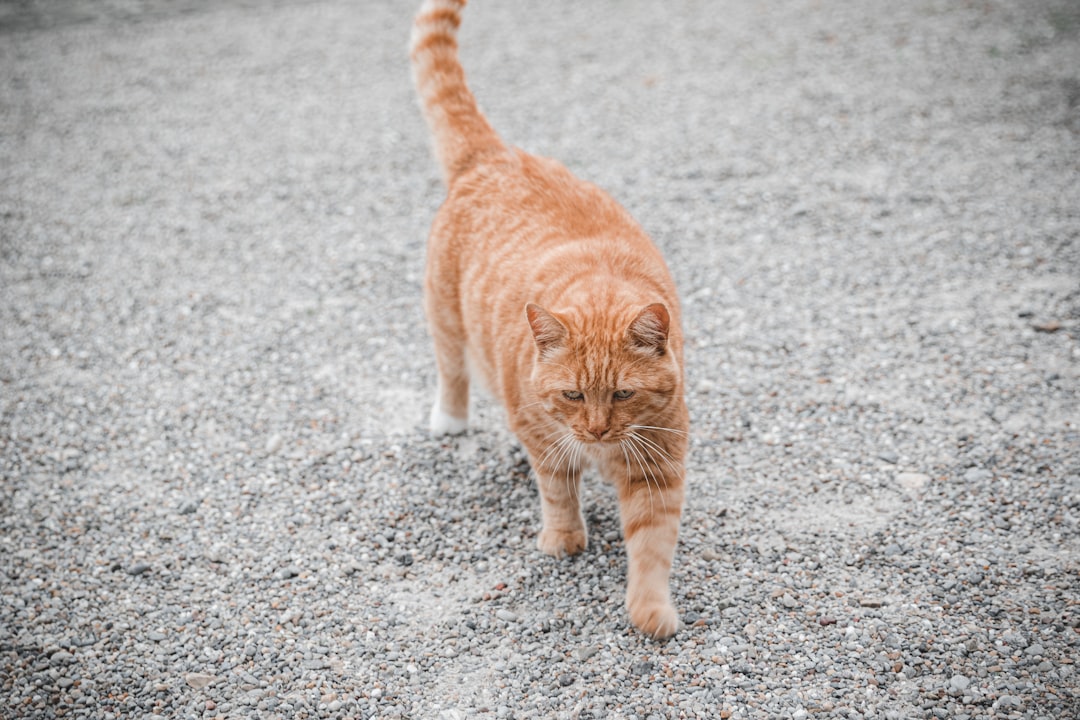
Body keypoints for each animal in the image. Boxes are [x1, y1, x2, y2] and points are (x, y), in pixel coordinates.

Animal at [408, 0, 686, 643]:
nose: (597, 431)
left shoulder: (659, 469)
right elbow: (558, 493)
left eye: (623, 394)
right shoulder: (543, 438)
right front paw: (564, 540)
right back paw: (449, 420)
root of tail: (496, 155)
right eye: (572, 394)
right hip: (445, 319)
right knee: (451, 371)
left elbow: (652, 546)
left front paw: (649, 610)